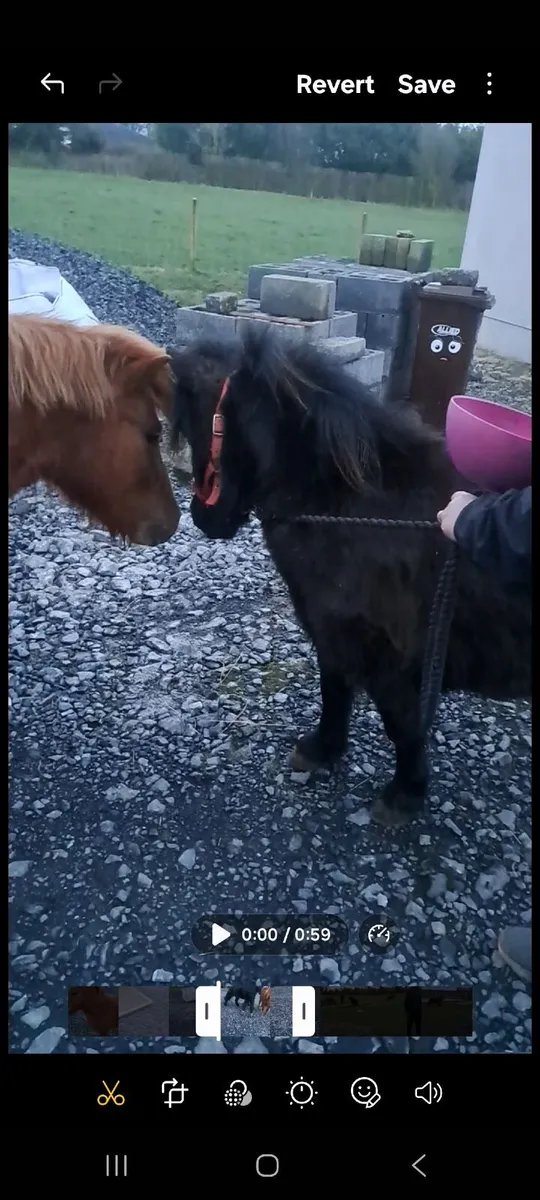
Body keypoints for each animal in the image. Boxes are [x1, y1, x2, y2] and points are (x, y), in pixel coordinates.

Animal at [167, 328, 530, 829]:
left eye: (201, 425)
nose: (205, 519)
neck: (359, 512)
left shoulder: (391, 663)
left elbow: (401, 727)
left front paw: (404, 794)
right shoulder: (335, 639)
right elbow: (334, 692)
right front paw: (322, 750)